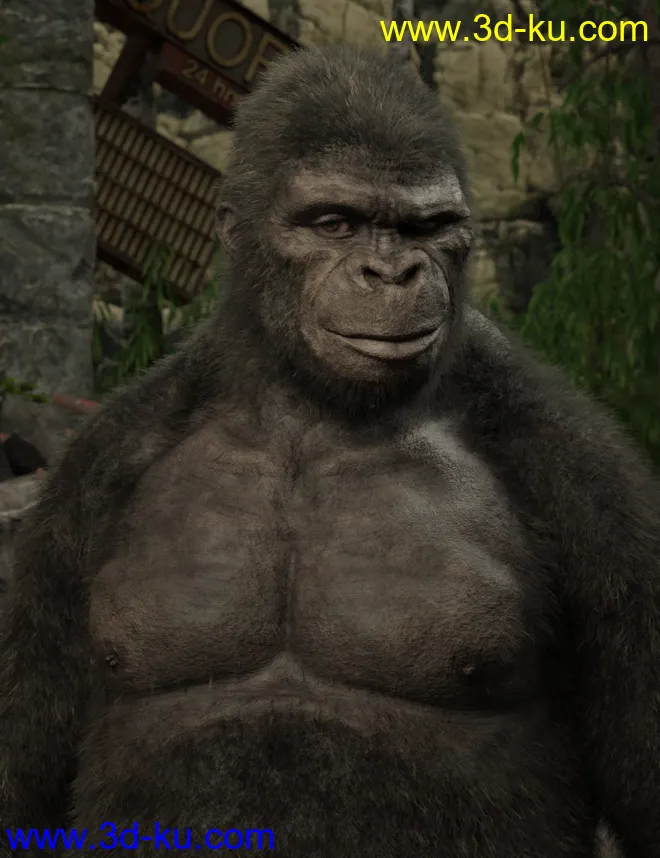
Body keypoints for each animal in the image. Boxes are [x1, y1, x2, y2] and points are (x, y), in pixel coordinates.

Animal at [0, 43, 658, 858]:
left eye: (427, 228)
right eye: (336, 223)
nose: (394, 272)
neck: (304, 406)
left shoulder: (587, 481)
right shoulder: (92, 475)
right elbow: (30, 742)